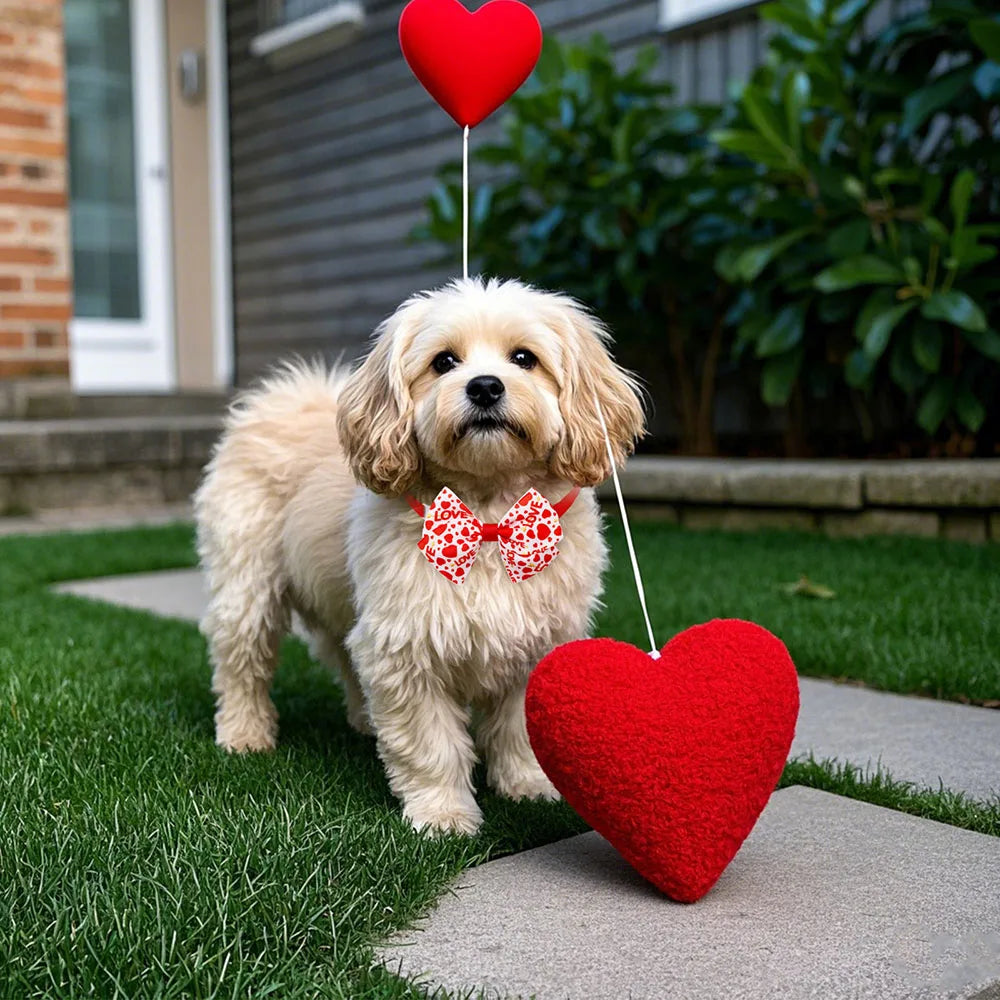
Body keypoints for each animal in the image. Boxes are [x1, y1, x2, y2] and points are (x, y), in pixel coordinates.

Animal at [197, 276, 640, 836]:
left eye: (524, 358)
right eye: (443, 362)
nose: (485, 386)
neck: (488, 519)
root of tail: (289, 397)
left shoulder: (534, 646)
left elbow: (517, 730)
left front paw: (528, 787)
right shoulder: (408, 648)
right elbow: (431, 745)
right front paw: (443, 814)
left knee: (344, 656)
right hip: (248, 583)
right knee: (241, 660)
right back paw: (245, 733)